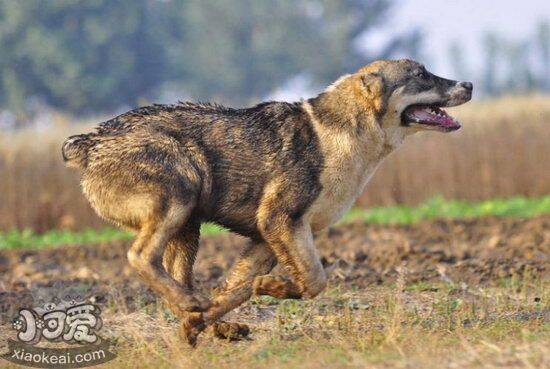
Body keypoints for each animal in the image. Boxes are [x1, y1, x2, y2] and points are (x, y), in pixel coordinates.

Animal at [61, 59, 474, 344]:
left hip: (188, 226)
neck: (347, 132)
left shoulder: (267, 238)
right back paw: (192, 305)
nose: (470, 83)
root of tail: (89, 142)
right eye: (421, 74)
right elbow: (314, 281)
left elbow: (235, 289)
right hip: (181, 193)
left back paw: (204, 319)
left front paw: (216, 316)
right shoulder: (280, 220)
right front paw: (270, 288)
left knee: (177, 279)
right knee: (140, 256)